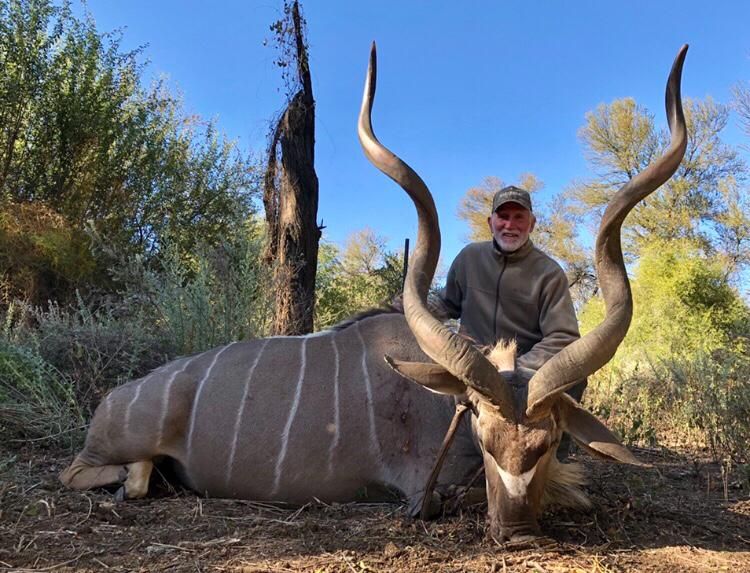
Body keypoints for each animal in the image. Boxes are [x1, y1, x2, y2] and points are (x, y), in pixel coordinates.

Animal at [61, 43, 688, 542]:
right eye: (483, 435)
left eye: (551, 439)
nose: (517, 533)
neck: (436, 403)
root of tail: (120, 395)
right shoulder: (424, 488)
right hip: (112, 448)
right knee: (88, 473)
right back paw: (137, 480)